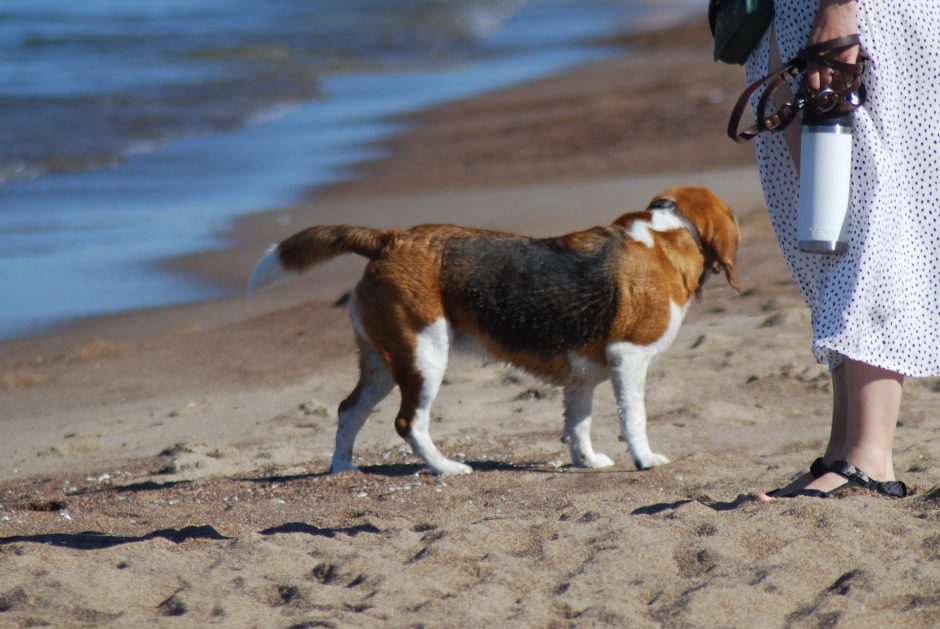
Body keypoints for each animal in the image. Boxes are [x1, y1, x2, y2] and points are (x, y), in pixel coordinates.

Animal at [250, 186, 740, 476]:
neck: (669, 234)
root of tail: (391, 239)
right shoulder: (628, 357)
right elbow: (633, 417)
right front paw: (643, 459)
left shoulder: (582, 377)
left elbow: (578, 423)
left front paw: (586, 461)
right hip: (424, 358)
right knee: (409, 422)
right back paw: (445, 468)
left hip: (384, 362)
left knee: (349, 411)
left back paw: (342, 468)